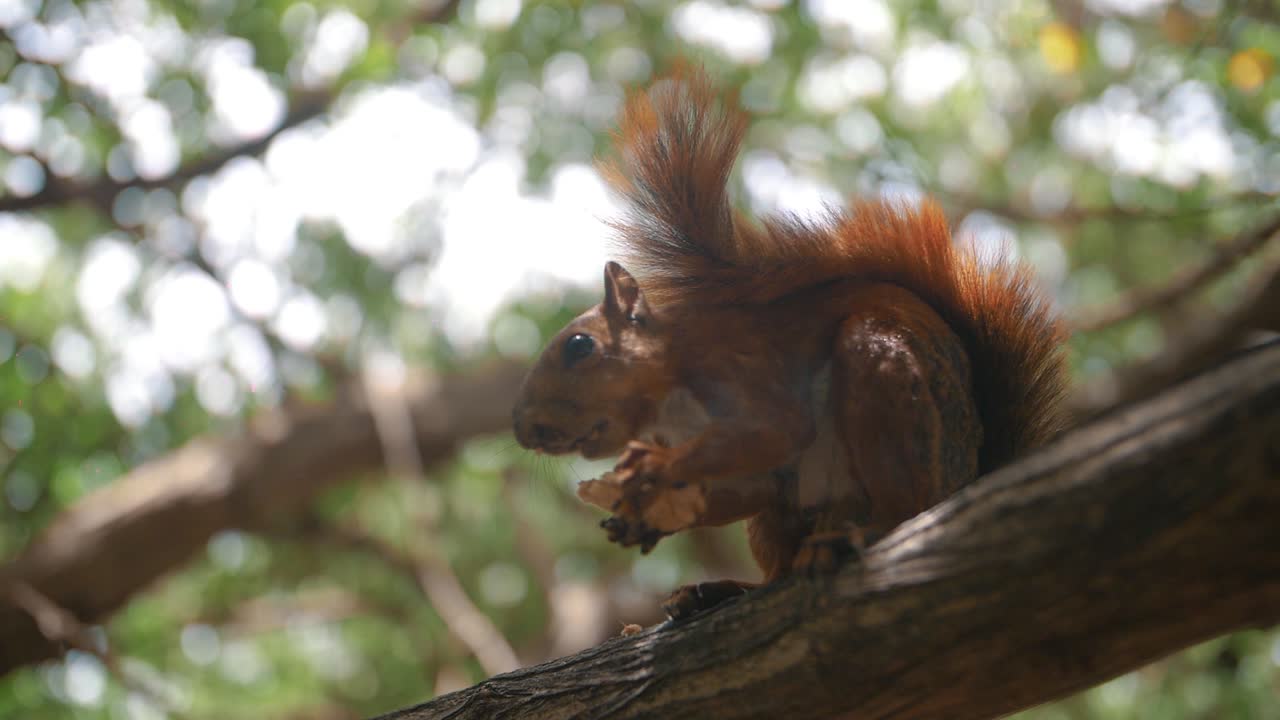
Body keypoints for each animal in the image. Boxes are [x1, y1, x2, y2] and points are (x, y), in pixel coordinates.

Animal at [511, 66, 1067, 619]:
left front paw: (655, 469)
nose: (524, 430)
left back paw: (862, 533)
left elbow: (778, 427)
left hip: (886, 392)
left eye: (579, 346)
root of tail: (965, 478)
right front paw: (643, 514)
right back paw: (723, 590)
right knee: (777, 560)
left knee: (903, 504)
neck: (669, 379)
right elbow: (747, 484)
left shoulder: (737, 363)